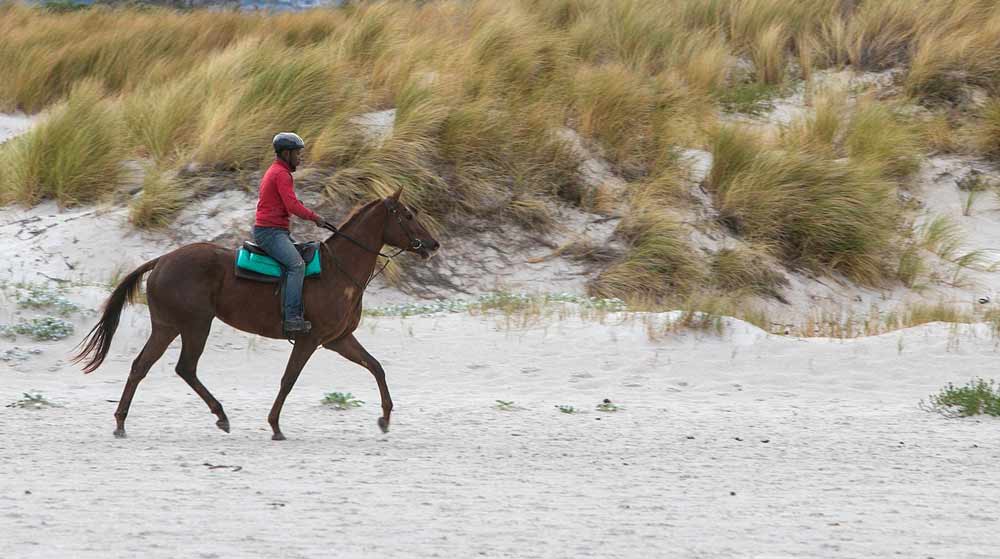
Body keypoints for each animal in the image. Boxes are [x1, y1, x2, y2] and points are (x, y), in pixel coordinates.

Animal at [72, 189, 440, 442]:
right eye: (407, 215)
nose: (433, 244)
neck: (339, 271)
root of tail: (162, 259)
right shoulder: (309, 339)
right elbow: (289, 379)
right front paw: (275, 425)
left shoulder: (338, 339)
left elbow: (375, 366)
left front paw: (385, 418)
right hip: (194, 325)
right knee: (183, 368)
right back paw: (218, 415)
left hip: (167, 326)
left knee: (142, 366)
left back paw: (123, 422)